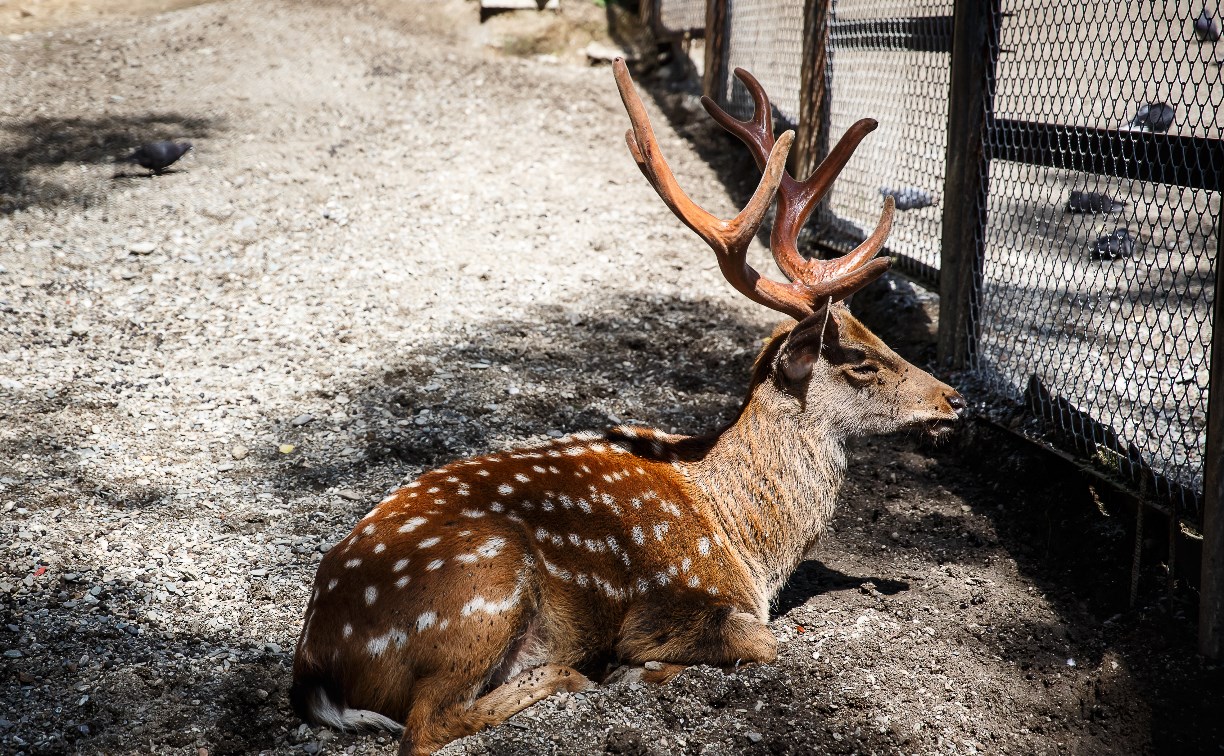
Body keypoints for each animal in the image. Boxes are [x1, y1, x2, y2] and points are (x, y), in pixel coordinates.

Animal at [288, 60, 964, 753]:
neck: (746, 538)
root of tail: (315, 663)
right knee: (425, 725)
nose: (955, 398)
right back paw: (574, 675)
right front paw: (638, 669)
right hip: (484, 582)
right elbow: (764, 642)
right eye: (859, 360)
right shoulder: (668, 605)